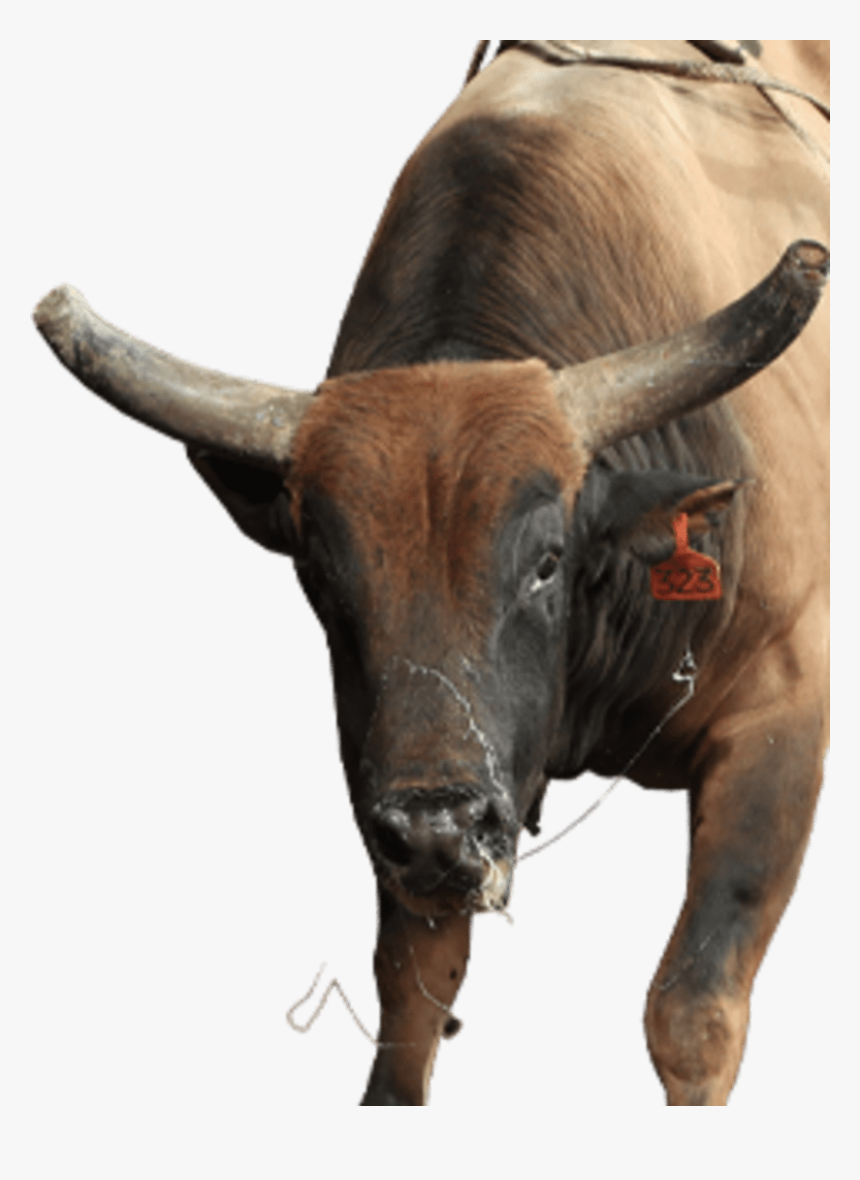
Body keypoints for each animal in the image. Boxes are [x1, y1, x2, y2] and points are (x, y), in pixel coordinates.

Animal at [34, 40, 829, 1106]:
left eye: (545, 561)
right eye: (325, 577)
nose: (437, 826)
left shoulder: (783, 715)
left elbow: (693, 1010)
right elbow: (410, 1006)